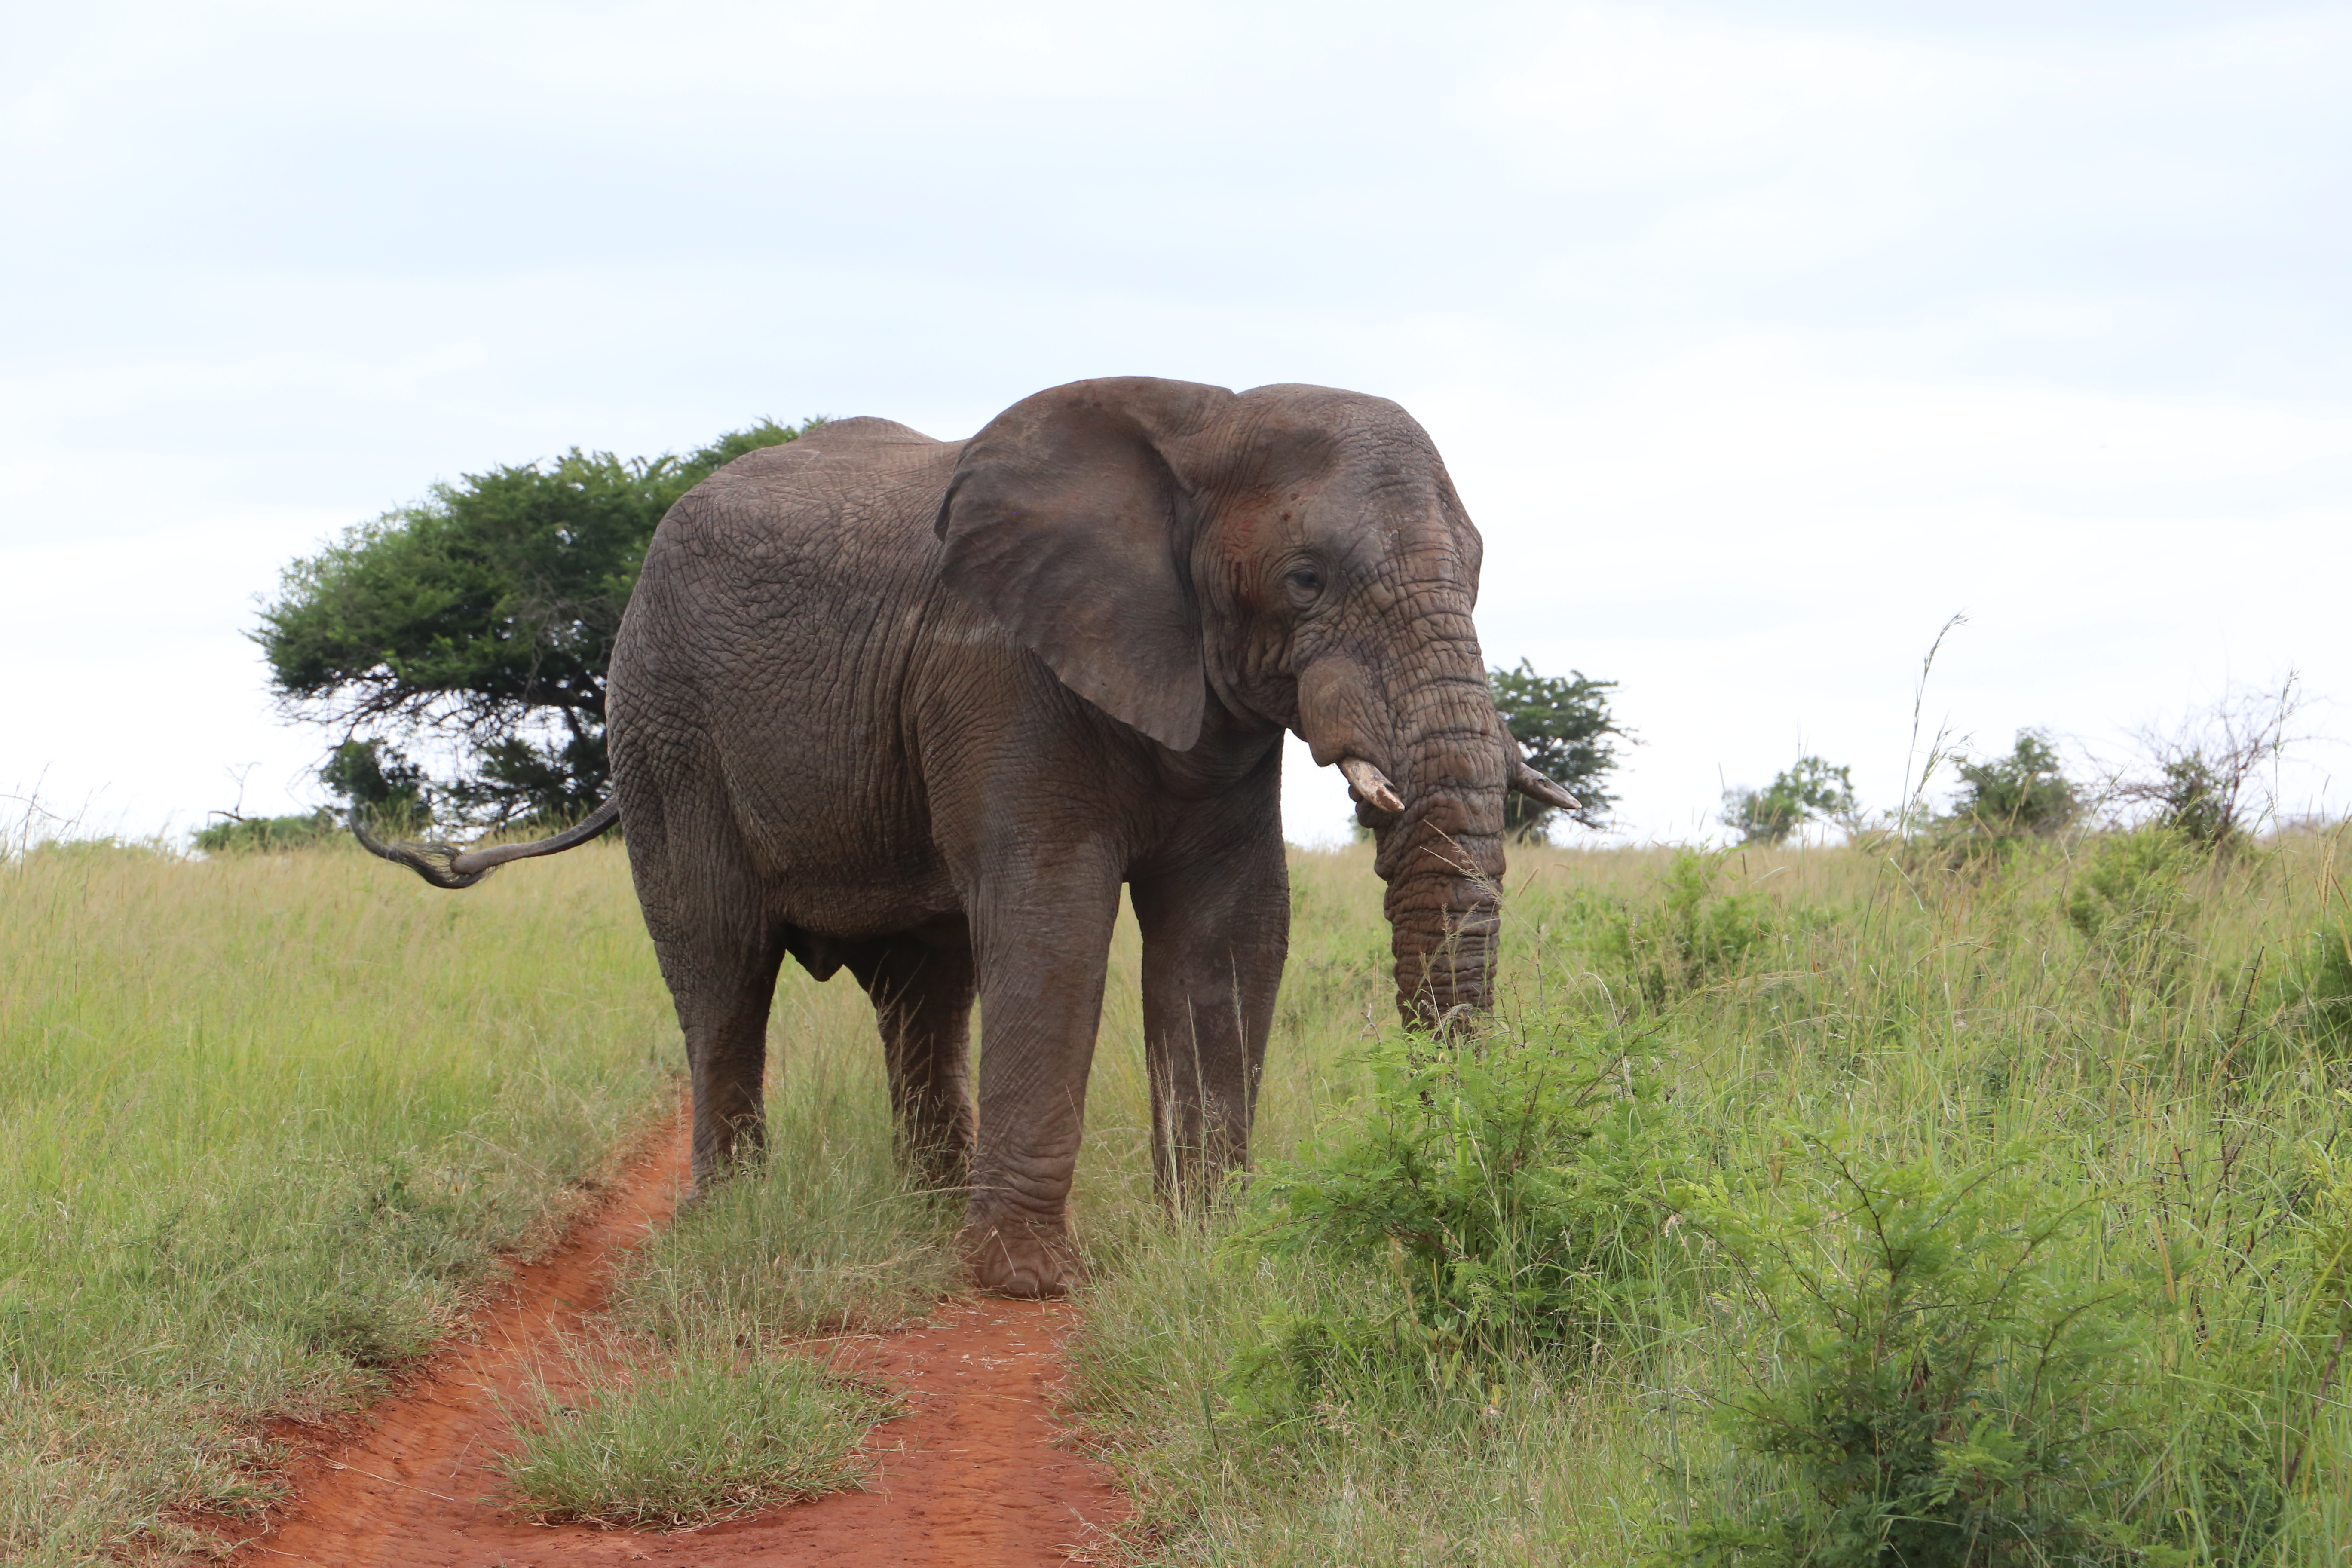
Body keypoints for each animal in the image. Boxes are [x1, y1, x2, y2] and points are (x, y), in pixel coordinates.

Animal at [356, 376, 1578, 1298]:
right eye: (1305, 579)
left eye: (1478, 575)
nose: (1428, 1223)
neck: (1200, 419)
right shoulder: (999, 669)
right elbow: (1052, 917)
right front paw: (1025, 1284)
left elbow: (1230, 934)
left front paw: (1214, 1250)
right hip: (662, 731)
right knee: (720, 970)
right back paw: (735, 1217)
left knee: (923, 986)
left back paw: (927, 1209)